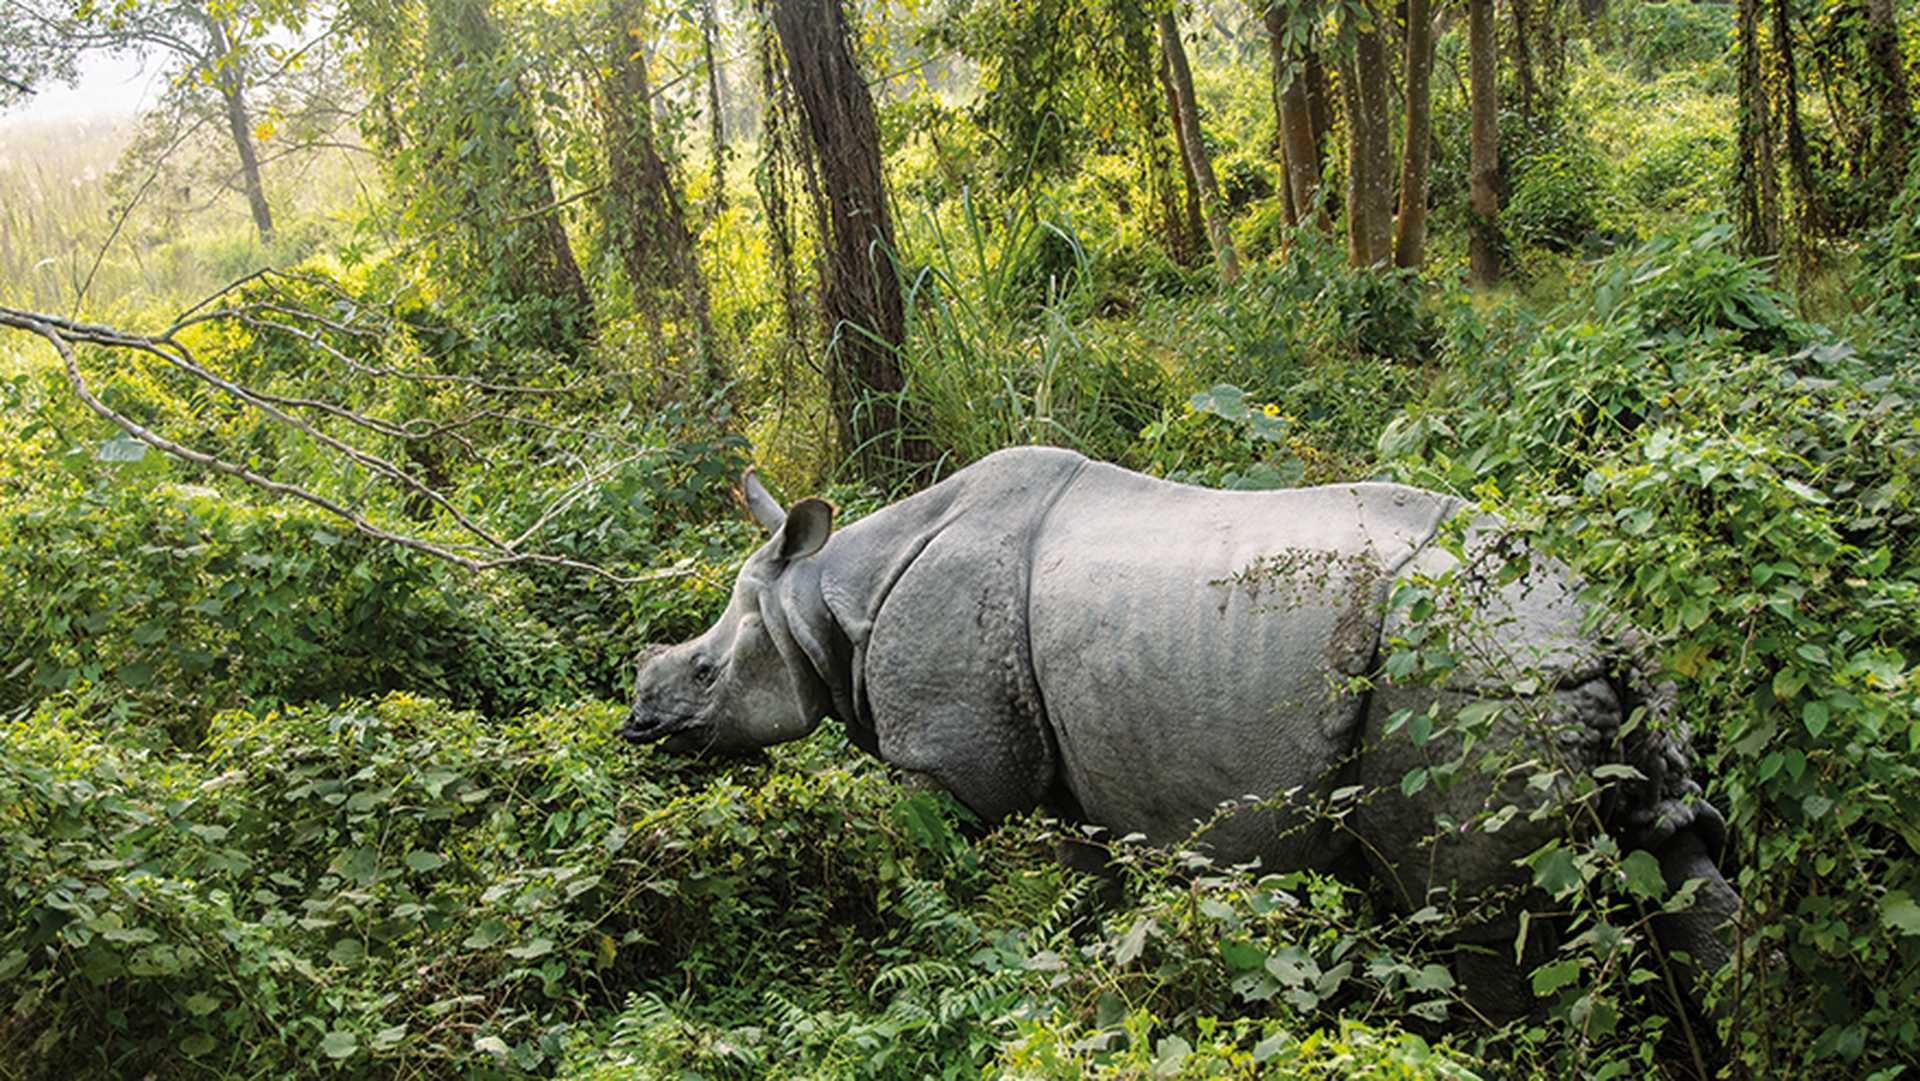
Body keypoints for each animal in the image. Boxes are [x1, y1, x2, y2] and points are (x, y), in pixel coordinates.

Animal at [622, 446, 1737, 1020]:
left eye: (708, 673)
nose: (639, 721)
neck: (826, 598)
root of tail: (1602, 626)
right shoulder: (1069, 777)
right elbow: (1085, 892)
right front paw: (1087, 985)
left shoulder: (949, 767)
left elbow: (915, 865)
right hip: (1568, 680)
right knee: (1675, 858)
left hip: (1470, 675)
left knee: (1473, 920)